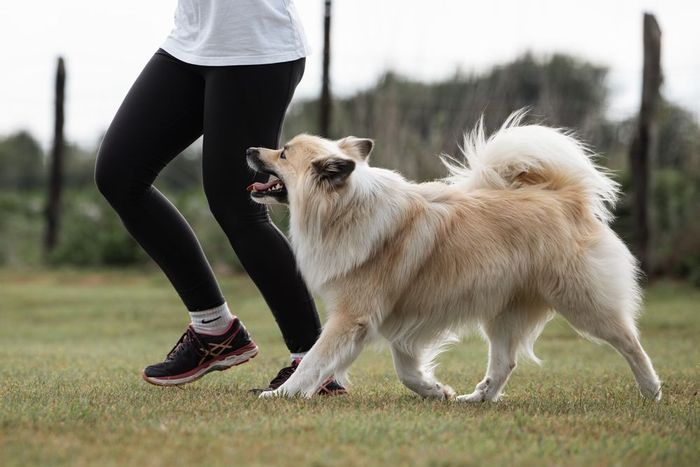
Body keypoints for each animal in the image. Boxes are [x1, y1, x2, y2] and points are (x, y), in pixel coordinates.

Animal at [245, 112, 662, 402]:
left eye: (283, 153)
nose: (249, 149)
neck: (344, 209)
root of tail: (565, 196)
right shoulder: (397, 319)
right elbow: (405, 368)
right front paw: (435, 390)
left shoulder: (352, 316)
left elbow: (315, 360)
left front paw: (280, 393)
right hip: (504, 310)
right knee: (505, 361)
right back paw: (477, 397)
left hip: (581, 301)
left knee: (630, 340)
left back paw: (651, 389)